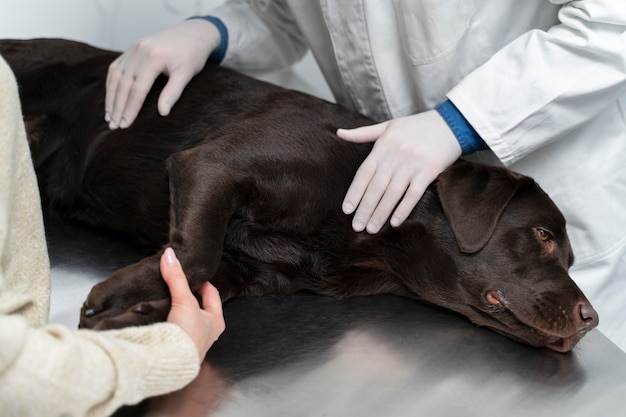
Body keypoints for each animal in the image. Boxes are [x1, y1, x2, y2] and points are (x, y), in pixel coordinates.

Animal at [0, 38, 596, 352]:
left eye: (571, 257)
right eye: (541, 235)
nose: (592, 319)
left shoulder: (248, 271)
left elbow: (202, 278)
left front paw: (142, 312)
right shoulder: (209, 165)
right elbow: (194, 256)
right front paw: (120, 298)